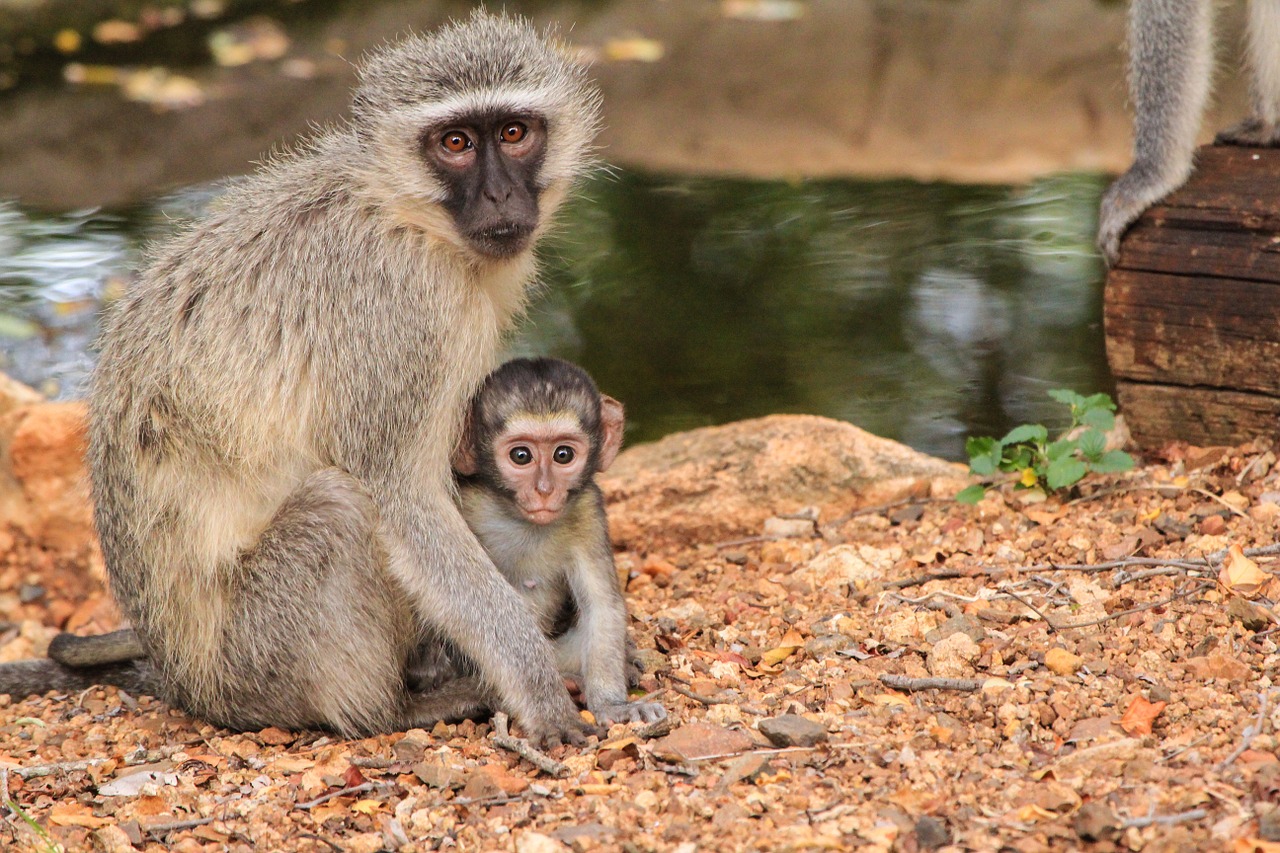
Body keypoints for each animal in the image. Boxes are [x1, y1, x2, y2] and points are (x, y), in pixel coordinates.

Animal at [0, 11, 604, 742]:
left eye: (514, 133)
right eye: (455, 143)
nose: (499, 194)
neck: (405, 214)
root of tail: (184, 679)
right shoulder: (401, 307)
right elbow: (403, 498)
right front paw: (539, 691)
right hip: (255, 657)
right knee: (340, 509)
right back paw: (391, 708)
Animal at [453, 356, 670, 722]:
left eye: (563, 455)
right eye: (521, 456)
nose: (544, 490)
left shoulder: (588, 510)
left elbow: (601, 606)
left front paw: (613, 704)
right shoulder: (467, 504)